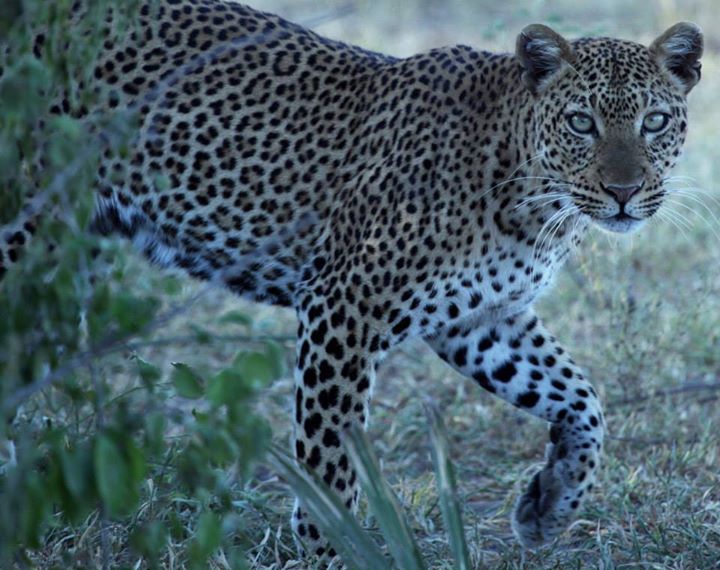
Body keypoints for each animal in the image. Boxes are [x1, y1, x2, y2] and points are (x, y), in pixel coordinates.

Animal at [0, 0, 703, 562]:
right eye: (582, 122)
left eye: (655, 122)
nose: (624, 192)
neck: (531, 203)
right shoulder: (345, 306)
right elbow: (330, 458)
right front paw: (329, 550)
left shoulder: (481, 320)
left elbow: (581, 398)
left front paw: (548, 507)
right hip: (26, 231)